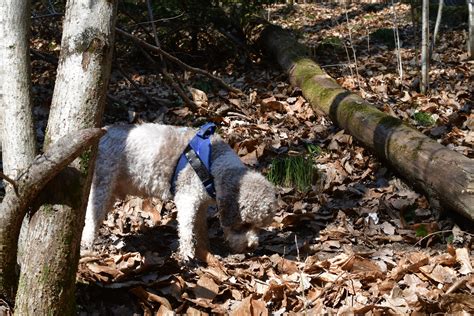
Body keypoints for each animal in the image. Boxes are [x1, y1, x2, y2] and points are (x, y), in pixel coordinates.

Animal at [79, 123, 276, 262]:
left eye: (259, 227)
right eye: (243, 225)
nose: (251, 246)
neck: (214, 164)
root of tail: (102, 132)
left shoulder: (201, 204)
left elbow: (200, 228)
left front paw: (205, 249)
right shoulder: (187, 198)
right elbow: (187, 229)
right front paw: (188, 254)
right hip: (102, 185)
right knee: (91, 218)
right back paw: (87, 244)